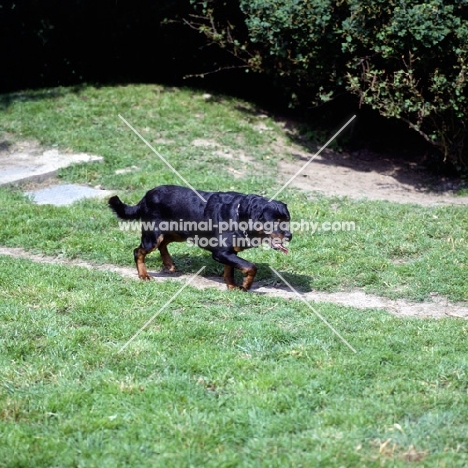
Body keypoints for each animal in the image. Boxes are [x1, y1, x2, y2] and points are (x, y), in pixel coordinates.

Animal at [109, 186, 292, 288]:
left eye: (288, 220)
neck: (240, 215)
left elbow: (230, 271)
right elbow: (251, 267)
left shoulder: (229, 253)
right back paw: (144, 275)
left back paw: (169, 264)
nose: (290, 235)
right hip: (153, 235)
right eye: (275, 222)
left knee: (164, 244)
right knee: (138, 251)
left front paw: (232, 287)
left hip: (178, 233)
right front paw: (246, 285)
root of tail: (146, 196)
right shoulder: (221, 253)